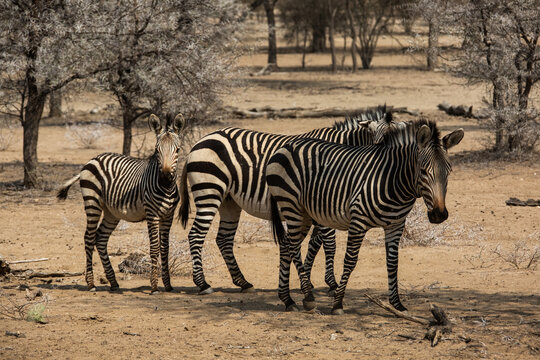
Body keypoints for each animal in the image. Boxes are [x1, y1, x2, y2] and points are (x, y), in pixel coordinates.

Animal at [56, 114, 184, 294]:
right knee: (89, 237)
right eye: (156, 150)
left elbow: (165, 249)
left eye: (177, 150)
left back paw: (113, 282)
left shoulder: (168, 216)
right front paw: (154, 287)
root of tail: (93, 159)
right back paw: (91, 284)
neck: (166, 189)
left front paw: (168, 285)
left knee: (100, 238)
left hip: (111, 213)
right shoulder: (152, 214)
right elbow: (154, 248)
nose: (165, 178)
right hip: (92, 202)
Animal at [179, 105, 394, 296]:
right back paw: (203, 284)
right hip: (209, 190)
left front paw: (307, 278)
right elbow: (329, 244)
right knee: (196, 235)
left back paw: (243, 282)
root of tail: (201, 141)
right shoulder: (322, 203)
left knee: (223, 239)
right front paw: (331, 283)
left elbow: (315, 243)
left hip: (229, 201)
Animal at [268, 117, 462, 312]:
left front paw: (397, 304)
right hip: (291, 206)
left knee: (286, 245)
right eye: (423, 171)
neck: (391, 179)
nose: (439, 215)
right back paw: (307, 297)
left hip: (304, 214)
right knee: (293, 247)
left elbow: (393, 262)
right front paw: (337, 303)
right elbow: (350, 260)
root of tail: (286, 146)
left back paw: (287, 299)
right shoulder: (358, 221)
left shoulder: (396, 225)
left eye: (449, 171)